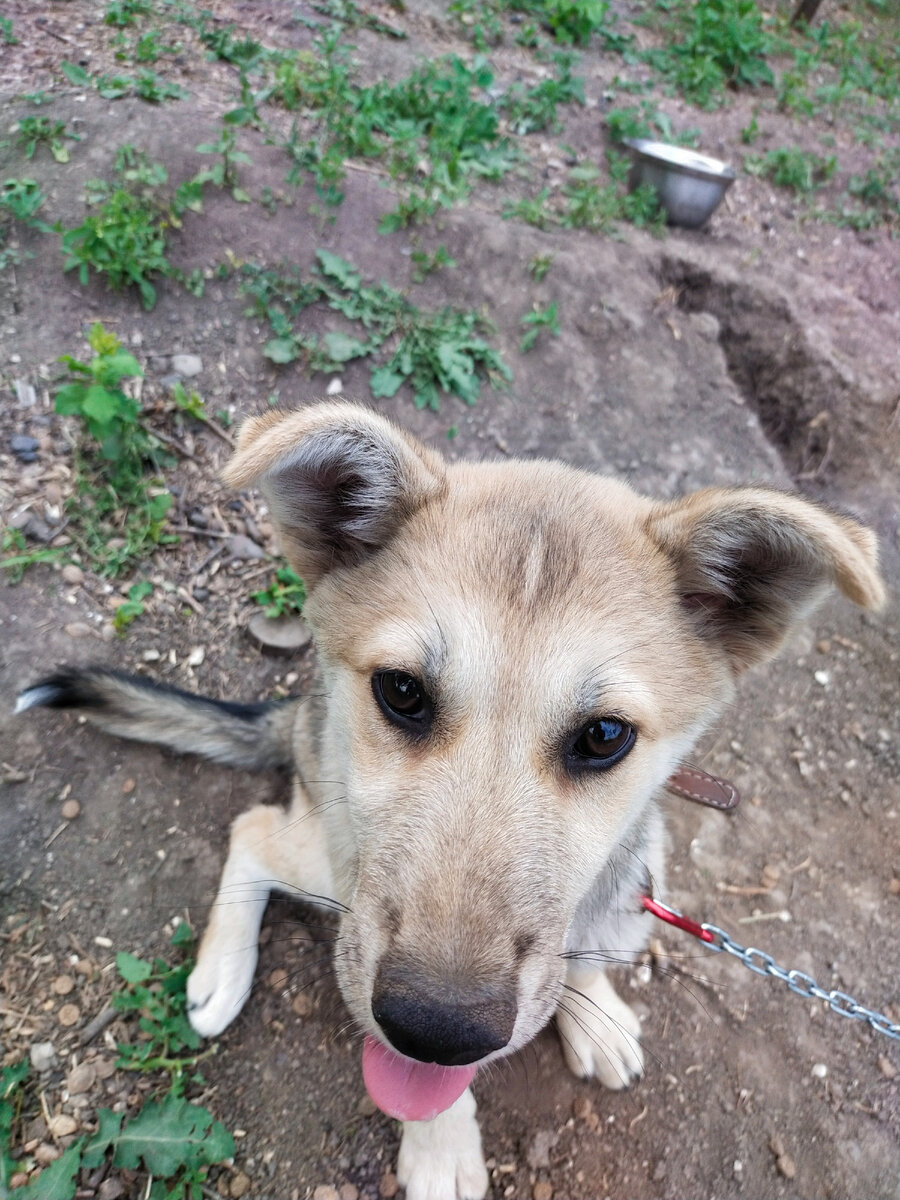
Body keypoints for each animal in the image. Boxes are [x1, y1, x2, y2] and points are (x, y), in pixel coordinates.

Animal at [21, 405, 888, 1200]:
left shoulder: (627, 882)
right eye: (402, 692)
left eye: (605, 735)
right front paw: (439, 1147)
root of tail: (301, 712)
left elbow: (587, 943)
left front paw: (593, 1010)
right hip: (334, 862)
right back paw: (221, 971)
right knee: (257, 827)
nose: (437, 1029)